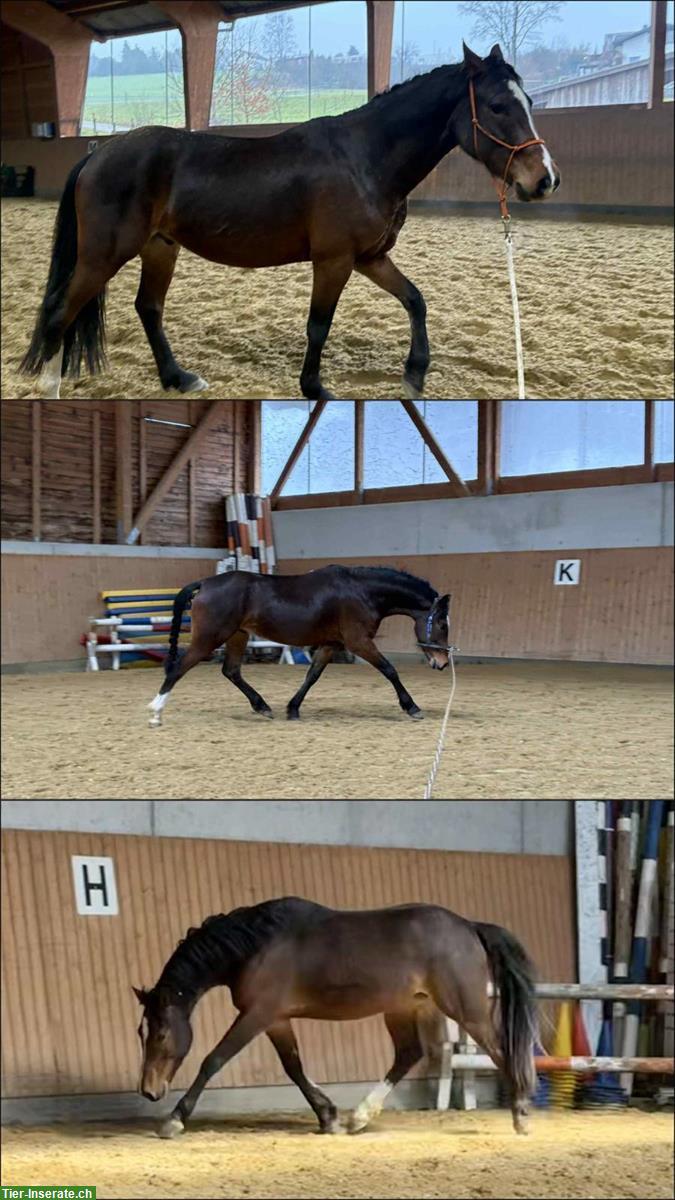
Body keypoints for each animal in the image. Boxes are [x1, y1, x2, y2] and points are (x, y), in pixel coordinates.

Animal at [20, 42, 559, 401]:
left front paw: (414, 373)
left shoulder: (369, 258)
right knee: (60, 311)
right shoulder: (335, 260)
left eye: (530, 103)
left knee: (147, 309)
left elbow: (415, 300)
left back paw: (179, 378)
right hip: (104, 254)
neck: (364, 158)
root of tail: (98, 153)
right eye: (497, 105)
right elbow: (318, 325)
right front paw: (315, 387)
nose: (545, 179)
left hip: (159, 247)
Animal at [134, 896, 538, 1139]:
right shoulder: (276, 1020)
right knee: (408, 1054)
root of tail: (470, 926)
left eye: (161, 1034)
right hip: (403, 1008)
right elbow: (294, 1067)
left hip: (467, 1010)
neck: (258, 945)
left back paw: (520, 1114)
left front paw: (174, 1120)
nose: (149, 1091)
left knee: (503, 1050)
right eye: (141, 1031)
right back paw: (358, 1117)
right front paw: (327, 1116)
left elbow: (213, 1060)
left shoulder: (257, 1015)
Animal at [147, 564, 451, 727]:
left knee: (231, 671)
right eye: (442, 624)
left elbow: (312, 676)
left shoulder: (330, 644)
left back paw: (262, 706)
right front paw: (412, 707)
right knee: (178, 668)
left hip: (237, 635)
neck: (361, 591)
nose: (442, 662)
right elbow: (390, 671)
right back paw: (156, 713)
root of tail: (205, 583)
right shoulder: (359, 642)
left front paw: (292, 709)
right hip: (210, 637)